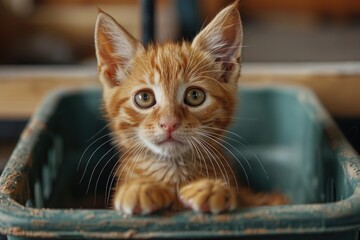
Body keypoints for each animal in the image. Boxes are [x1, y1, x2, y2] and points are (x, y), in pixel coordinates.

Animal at [95, 1, 286, 216]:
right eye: (144, 98)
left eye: (195, 96)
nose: (169, 123)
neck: (174, 171)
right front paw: (141, 187)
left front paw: (212, 188)